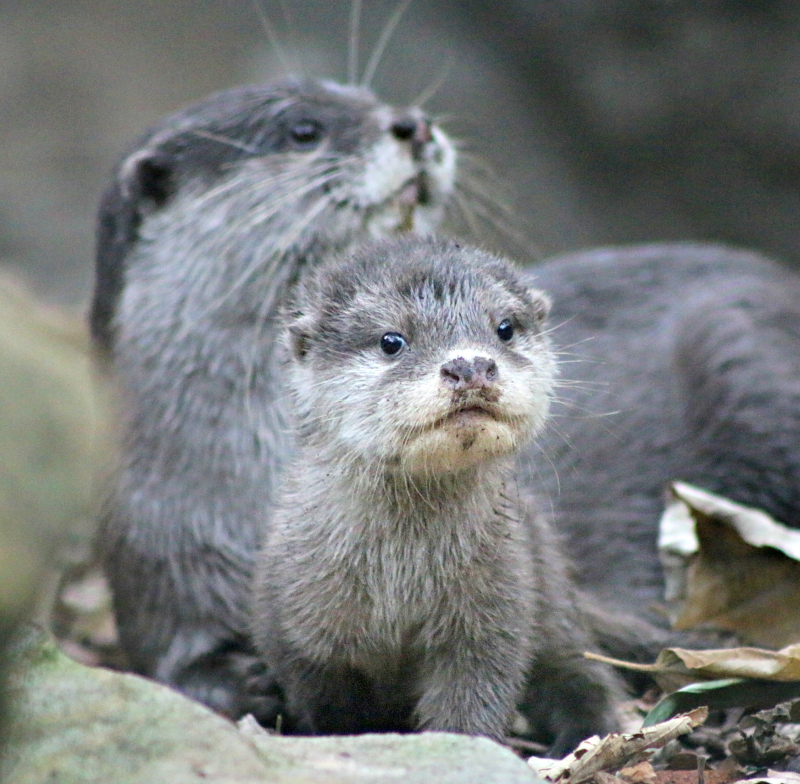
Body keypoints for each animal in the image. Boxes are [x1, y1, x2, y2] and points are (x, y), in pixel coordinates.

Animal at [252, 236, 620, 756]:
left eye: (504, 328)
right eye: (391, 340)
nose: (471, 364)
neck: (399, 580)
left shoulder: (493, 612)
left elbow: (473, 697)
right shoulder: (301, 634)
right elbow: (332, 708)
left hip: (548, 586)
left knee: (581, 672)